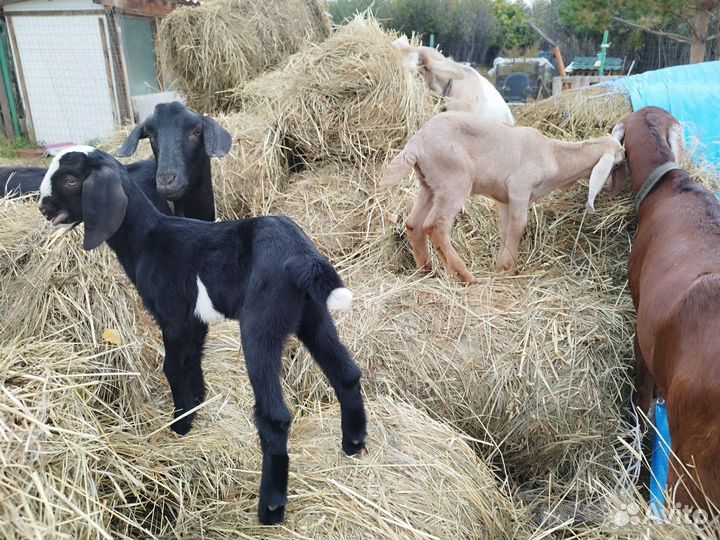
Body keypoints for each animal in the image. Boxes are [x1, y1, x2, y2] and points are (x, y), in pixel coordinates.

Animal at [38, 147, 367, 525]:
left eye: (70, 179)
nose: (43, 207)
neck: (148, 239)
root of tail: (303, 257)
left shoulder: (174, 317)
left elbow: (172, 368)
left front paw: (178, 426)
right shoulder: (194, 323)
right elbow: (191, 366)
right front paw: (193, 411)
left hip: (261, 326)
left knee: (275, 416)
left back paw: (270, 509)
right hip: (314, 317)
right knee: (346, 375)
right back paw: (354, 445)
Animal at [380, 111, 625, 282]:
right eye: (617, 163)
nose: (614, 188)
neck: (555, 156)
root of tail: (416, 144)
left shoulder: (505, 199)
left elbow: (506, 229)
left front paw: (500, 266)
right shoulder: (519, 188)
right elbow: (519, 226)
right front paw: (510, 268)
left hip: (430, 185)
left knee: (414, 223)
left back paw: (427, 270)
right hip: (454, 179)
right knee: (436, 225)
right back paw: (465, 277)